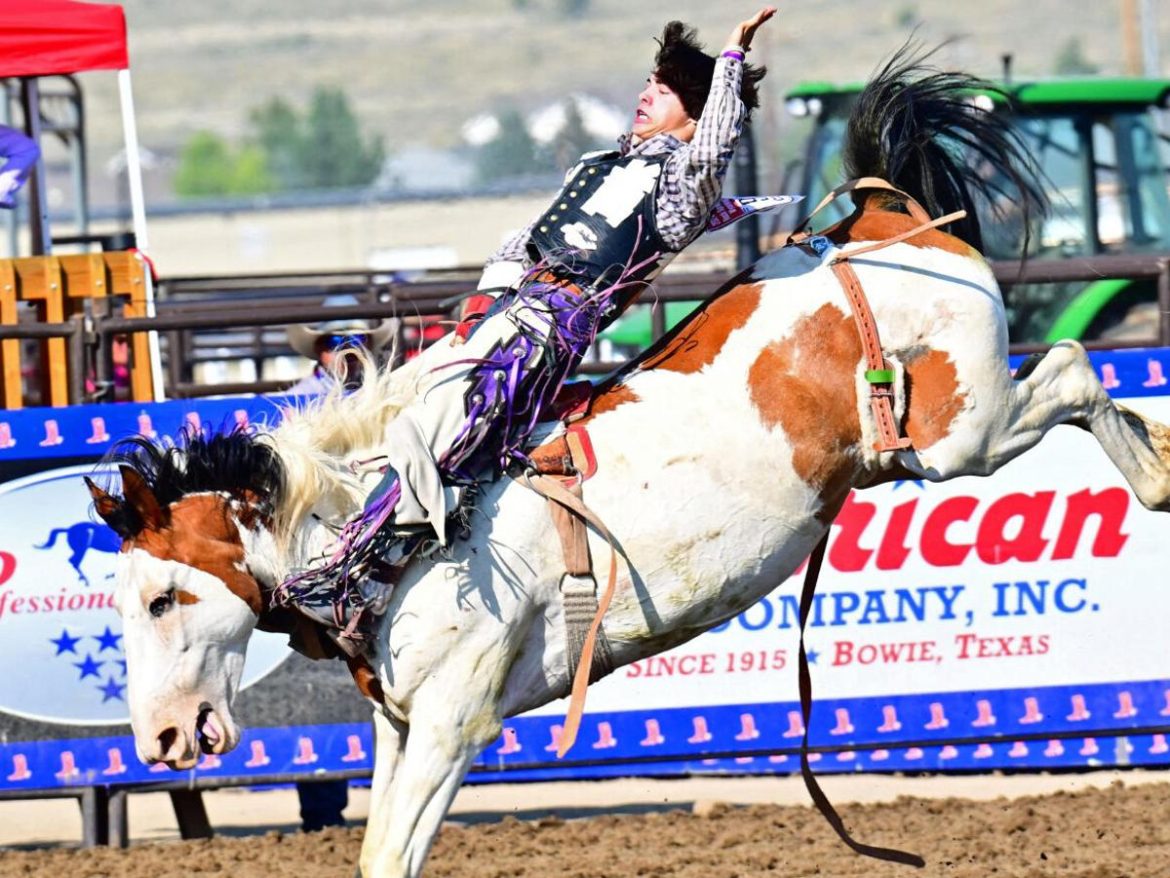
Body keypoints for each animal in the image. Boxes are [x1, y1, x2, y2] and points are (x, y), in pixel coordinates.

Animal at [86, 53, 1170, 878]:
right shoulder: (400, 725)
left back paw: (1156, 471)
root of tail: (878, 216)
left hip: (962, 431)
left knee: (1073, 366)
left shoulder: (453, 721)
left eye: (162, 598)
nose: (159, 742)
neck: (388, 529)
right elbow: (376, 851)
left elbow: (393, 855)